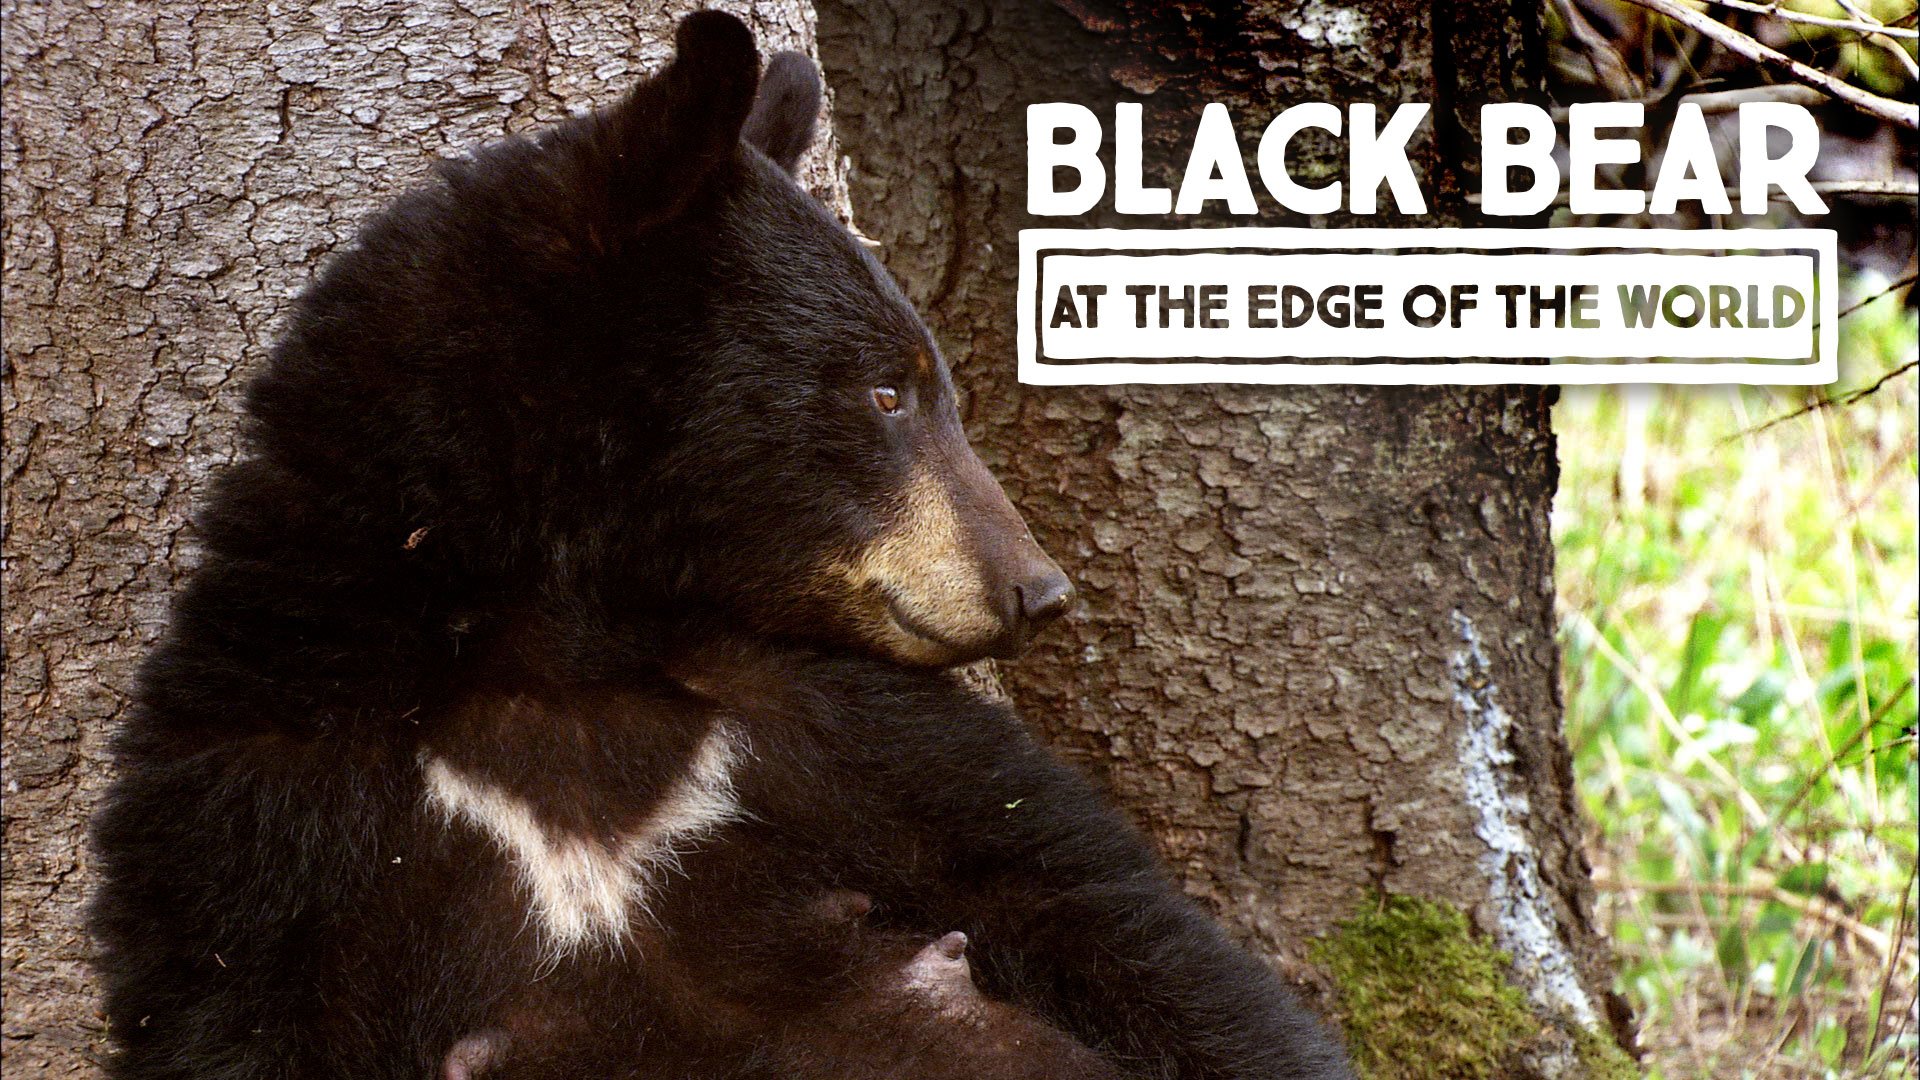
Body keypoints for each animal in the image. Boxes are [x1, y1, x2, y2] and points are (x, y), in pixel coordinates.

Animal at [88, 12, 1355, 1080]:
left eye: (923, 380)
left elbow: (1104, 914)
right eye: (887, 391)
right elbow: (228, 1019)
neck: (561, 647)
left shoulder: (831, 719)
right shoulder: (262, 816)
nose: (1037, 589)